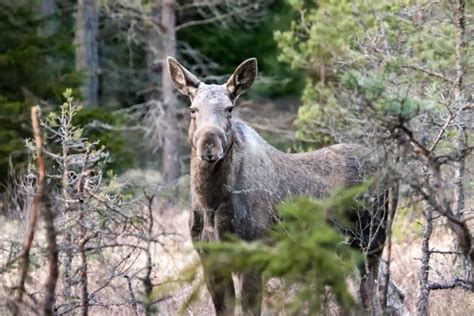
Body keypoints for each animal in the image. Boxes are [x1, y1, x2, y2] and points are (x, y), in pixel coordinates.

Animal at [167, 56, 388, 314]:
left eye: (230, 109)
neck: (210, 204)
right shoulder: (210, 261)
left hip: (371, 247)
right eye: (192, 109)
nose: (209, 145)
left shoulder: (253, 259)